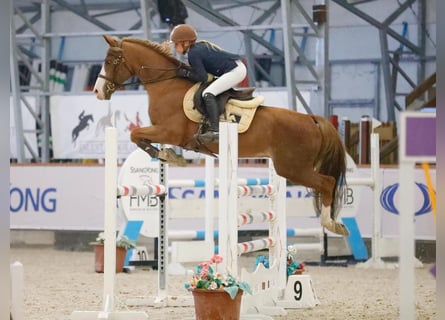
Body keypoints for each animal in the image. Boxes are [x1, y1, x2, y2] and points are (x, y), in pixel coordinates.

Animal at [93, 35, 348, 235]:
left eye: (109, 62)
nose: (97, 92)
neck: (165, 85)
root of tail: (312, 119)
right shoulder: (164, 132)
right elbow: (138, 136)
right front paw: (167, 155)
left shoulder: (169, 132)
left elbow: (136, 134)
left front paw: (167, 155)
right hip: (291, 168)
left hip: (293, 168)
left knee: (327, 182)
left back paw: (331, 223)